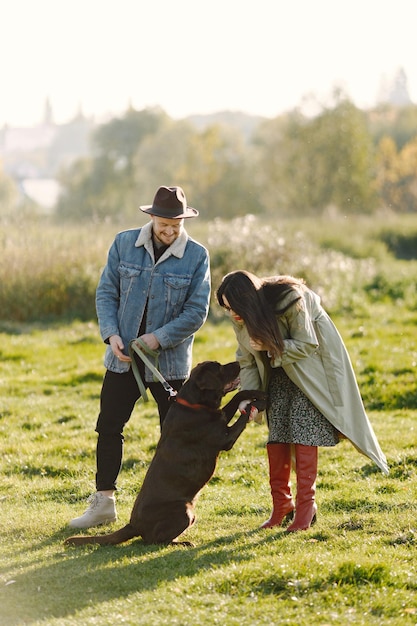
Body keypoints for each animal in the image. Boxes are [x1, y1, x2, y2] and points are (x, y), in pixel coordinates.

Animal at [65, 360, 266, 544]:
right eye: (219, 368)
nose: (238, 362)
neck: (193, 405)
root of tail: (133, 525)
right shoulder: (225, 439)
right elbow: (243, 416)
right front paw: (258, 403)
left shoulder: (220, 416)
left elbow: (236, 397)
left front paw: (256, 394)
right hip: (184, 511)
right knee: (155, 540)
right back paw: (182, 543)